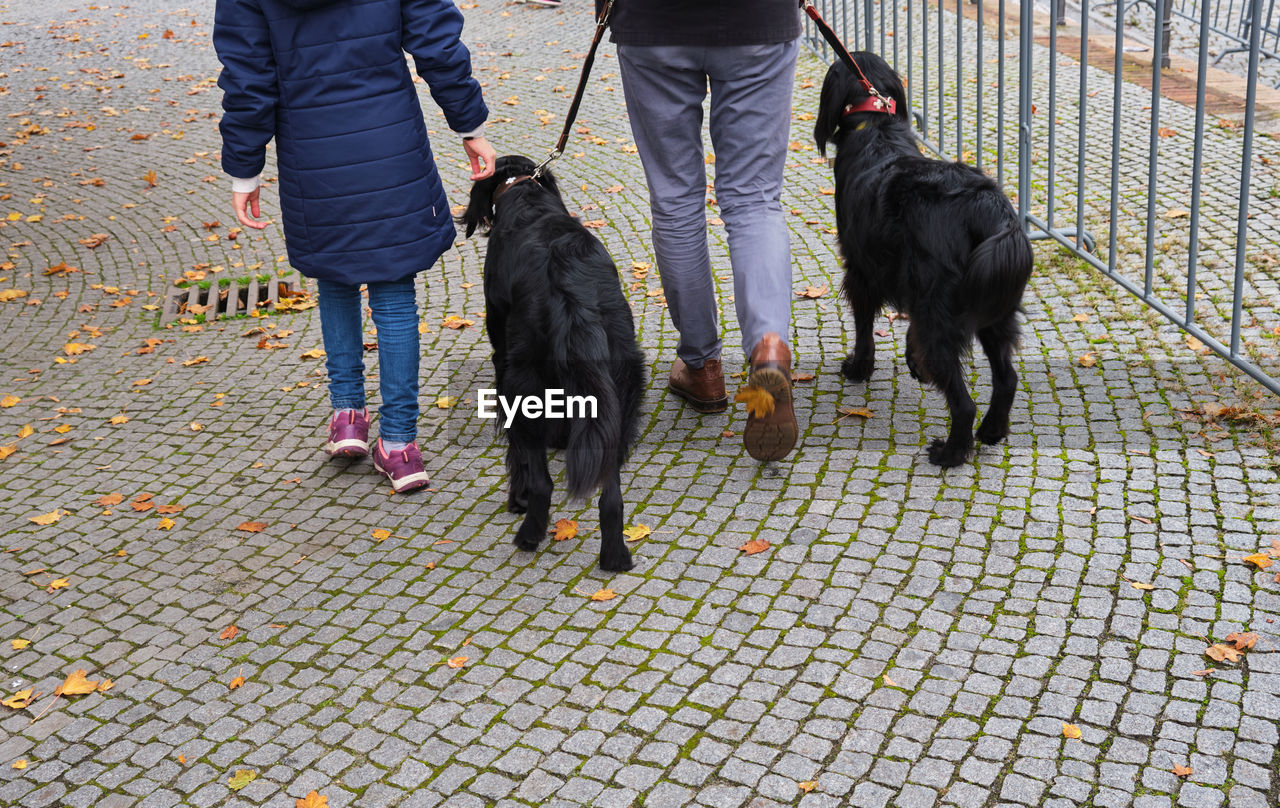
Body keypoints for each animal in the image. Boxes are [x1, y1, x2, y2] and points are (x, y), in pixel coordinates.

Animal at [460, 154, 645, 571]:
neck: (523, 190)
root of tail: (574, 294)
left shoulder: (502, 356)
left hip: (521, 381)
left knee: (541, 480)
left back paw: (528, 531)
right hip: (623, 386)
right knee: (611, 494)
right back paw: (615, 556)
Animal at [814, 52, 1034, 468]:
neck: (876, 126)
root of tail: (986, 205)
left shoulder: (862, 271)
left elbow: (864, 327)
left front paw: (859, 367)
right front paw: (911, 360)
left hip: (942, 313)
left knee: (964, 404)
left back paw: (950, 453)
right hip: (992, 311)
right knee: (1007, 378)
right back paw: (991, 431)